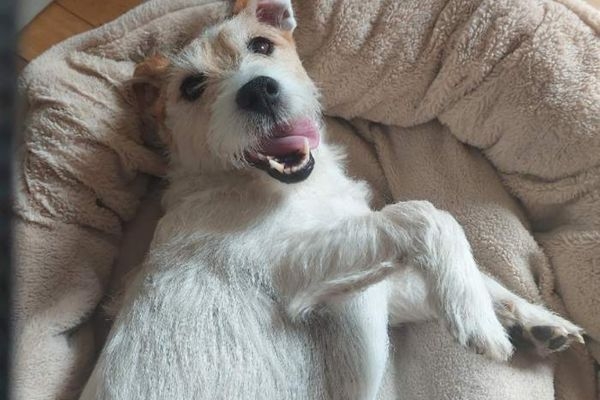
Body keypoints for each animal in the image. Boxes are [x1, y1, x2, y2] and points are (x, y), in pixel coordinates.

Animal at [78, 1, 580, 398]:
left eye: (261, 46)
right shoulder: (296, 273)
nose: (259, 89)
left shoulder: (370, 287)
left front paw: (531, 316)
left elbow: (467, 273)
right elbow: (426, 215)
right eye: (191, 87)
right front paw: (477, 317)